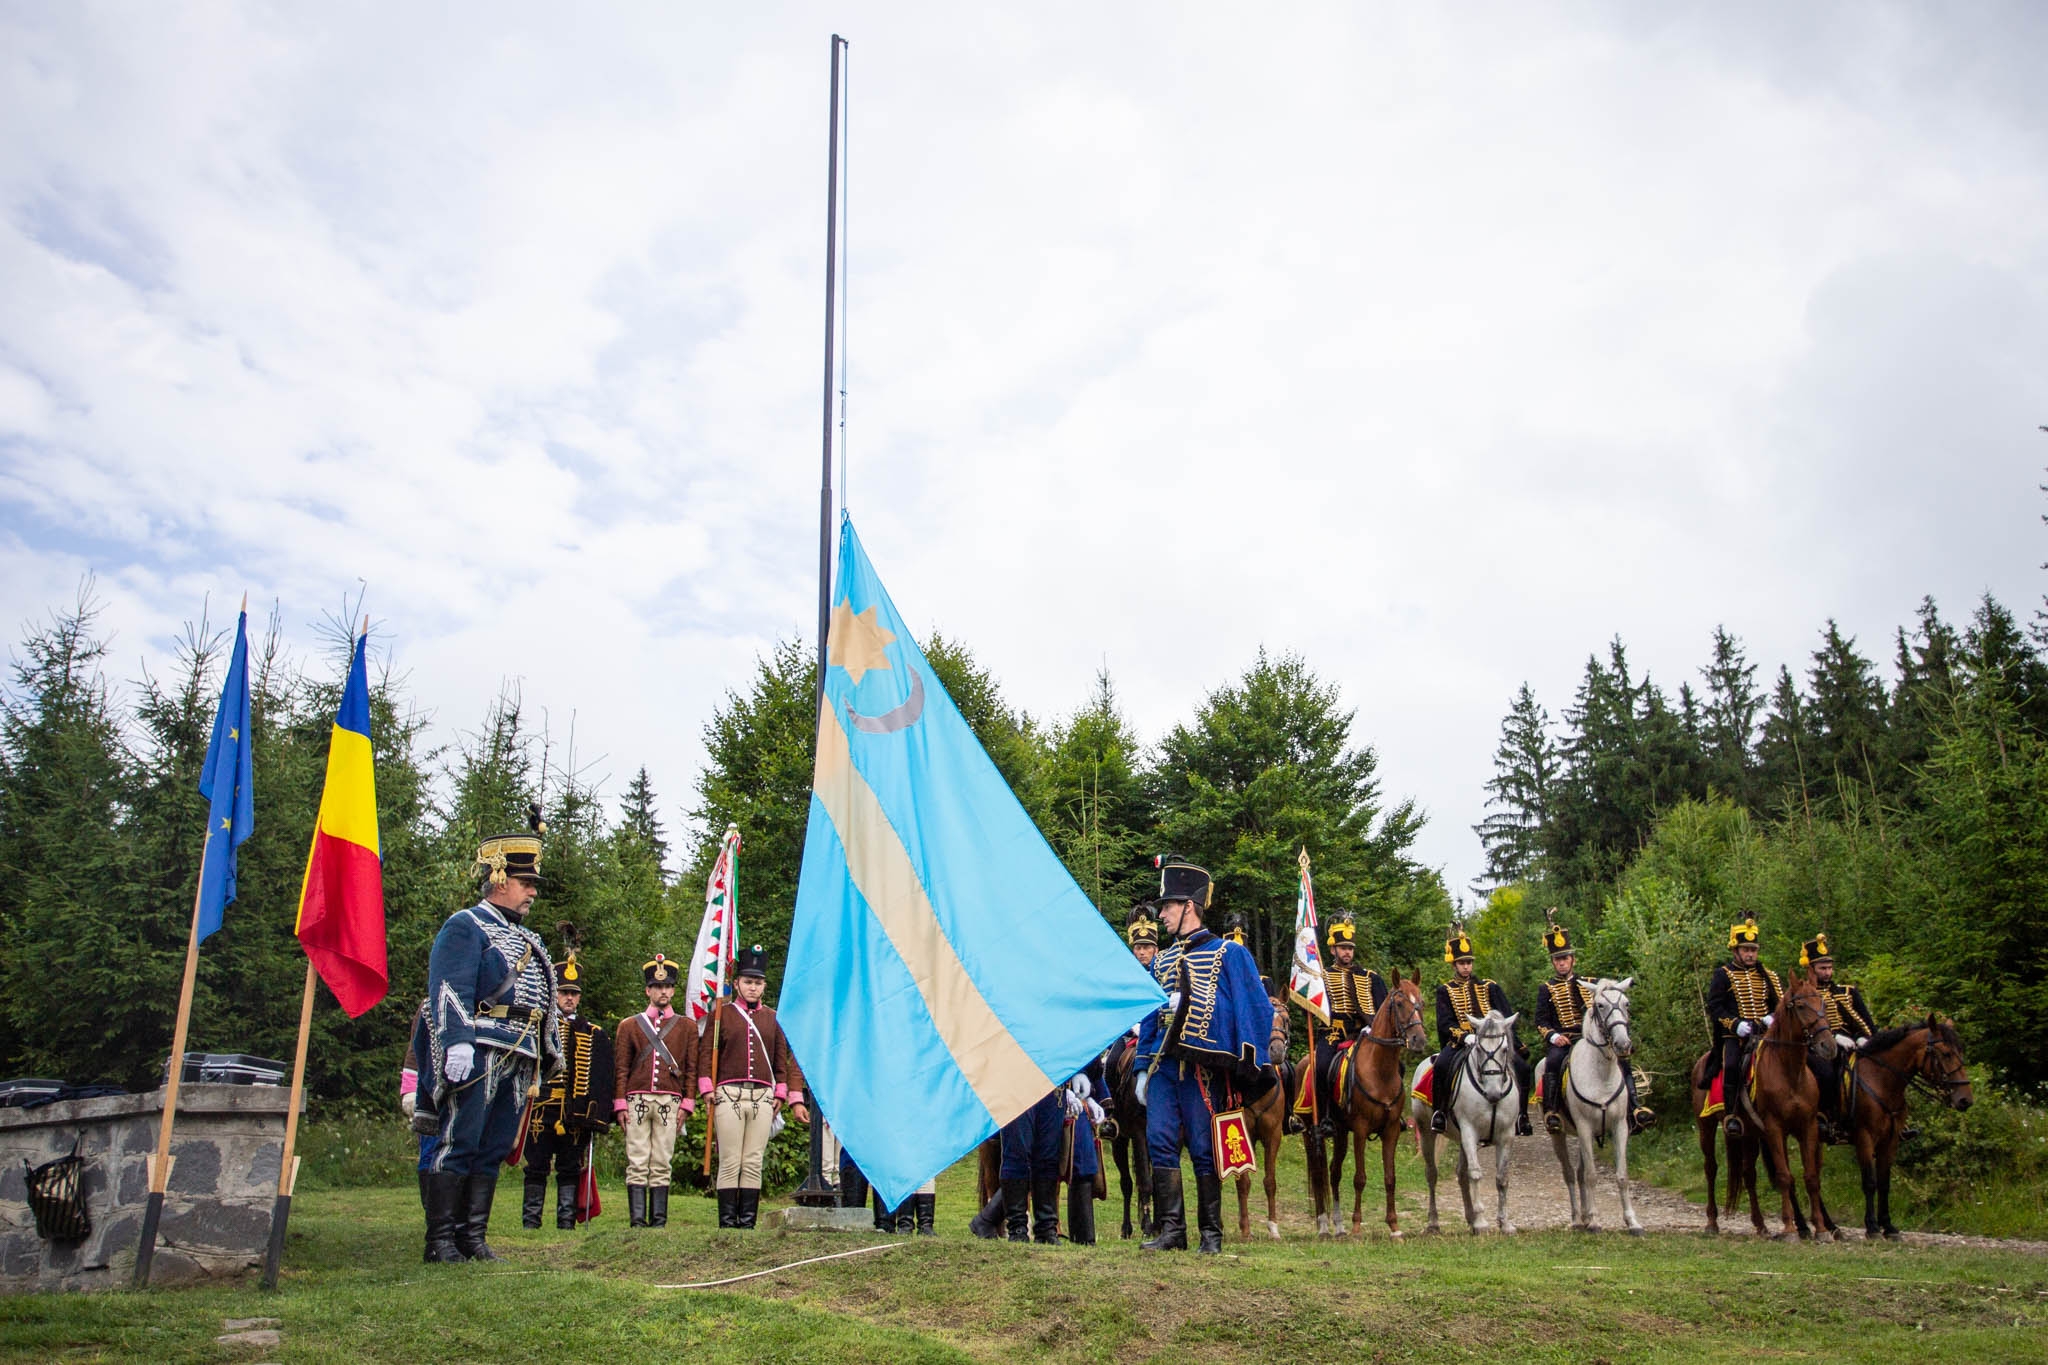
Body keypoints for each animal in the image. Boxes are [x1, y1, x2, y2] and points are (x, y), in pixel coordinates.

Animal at [1302, 965, 1433, 1244]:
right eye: (1399, 1003)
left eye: (1422, 1002)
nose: (1418, 1039)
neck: (1379, 1071)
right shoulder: (1361, 1130)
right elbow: (1360, 1178)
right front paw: (1357, 1226)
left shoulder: (1391, 1130)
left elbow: (1390, 1177)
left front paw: (1394, 1226)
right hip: (1310, 1132)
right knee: (1319, 1174)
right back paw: (1324, 1226)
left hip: (1340, 1132)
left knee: (1334, 1172)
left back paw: (1338, 1225)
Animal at [1409, 1002, 1523, 1236]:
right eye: (1478, 1048)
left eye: (1504, 1050)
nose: (1493, 1094)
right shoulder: (1470, 1132)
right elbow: (1476, 1173)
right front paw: (1482, 1222)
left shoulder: (1506, 1135)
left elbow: (1502, 1178)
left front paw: (1504, 1223)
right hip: (1426, 1132)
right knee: (1432, 1173)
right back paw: (1434, 1222)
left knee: (1460, 1174)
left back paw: (1470, 1218)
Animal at [1548, 970, 1646, 1236]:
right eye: (1600, 1005)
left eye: (1626, 1004)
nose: (1623, 1044)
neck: (1601, 1075)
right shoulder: (1583, 1126)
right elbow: (1591, 1176)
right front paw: (1595, 1221)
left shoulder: (1620, 1126)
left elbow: (1621, 1175)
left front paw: (1632, 1222)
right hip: (1560, 1134)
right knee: (1571, 1174)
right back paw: (1577, 1218)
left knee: (1580, 1172)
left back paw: (1583, 1215)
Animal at [1843, 1015, 1966, 1252]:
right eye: (1946, 1054)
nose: (1965, 1100)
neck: (1880, 1080)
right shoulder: (1864, 1138)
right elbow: (1870, 1182)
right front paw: (1872, 1228)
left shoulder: (1890, 1142)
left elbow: (1884, 1184)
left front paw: (1888, 1227)